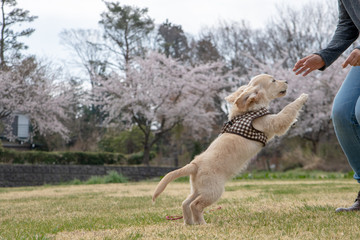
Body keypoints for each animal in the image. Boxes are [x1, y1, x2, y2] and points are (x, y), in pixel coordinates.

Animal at [153, 73, 308, 225]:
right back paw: (202, 224)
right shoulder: (272, 122)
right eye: (273, 80)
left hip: (199, 188)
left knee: (185, 202)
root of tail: (194, 164)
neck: (250, 109)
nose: (287, 81)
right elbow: (287, 111)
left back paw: (189, 223)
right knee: (195, 205)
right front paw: (302, 97)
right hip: (213, 190)